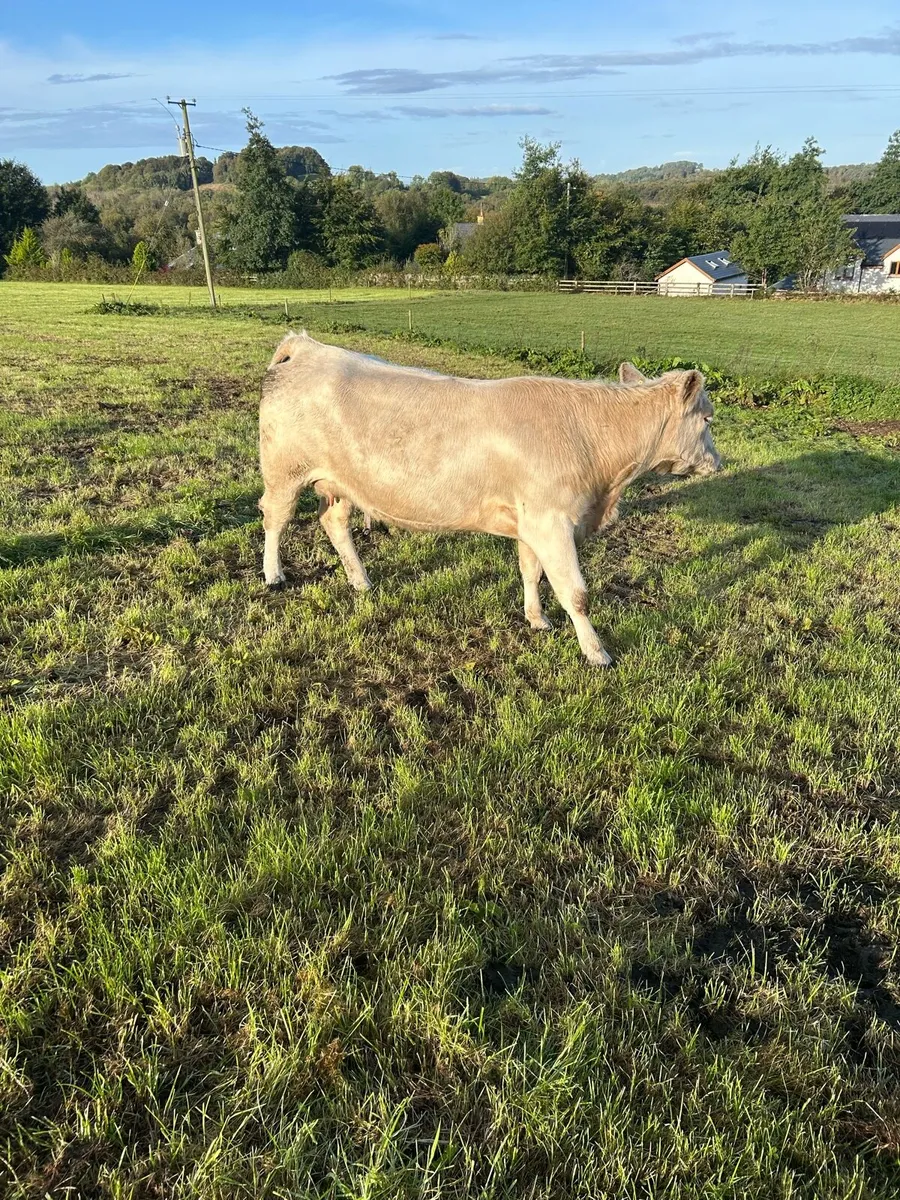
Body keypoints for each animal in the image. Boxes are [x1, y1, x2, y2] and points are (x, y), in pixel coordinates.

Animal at [258, 333, 721, 666]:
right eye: (708, 417)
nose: (718, 461)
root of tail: (306, 346)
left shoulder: (530, 523)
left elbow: (531, 573)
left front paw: (537, 619)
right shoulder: (551, 522)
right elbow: (575, 592)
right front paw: (597, 653)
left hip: (340, 484)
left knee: (334, 522)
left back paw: (361, 580)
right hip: (284, 472)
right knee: (274, 518)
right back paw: (273, 574)